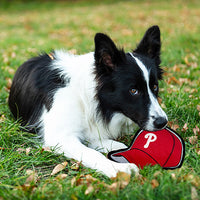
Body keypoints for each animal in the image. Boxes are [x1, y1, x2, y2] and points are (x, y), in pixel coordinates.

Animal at [8, 25, 167, 178]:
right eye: (133, 90)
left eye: (154, 87)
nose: (162, 122)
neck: (85, 99)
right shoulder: (59, 137)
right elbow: (91, 153)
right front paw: (117, 168)